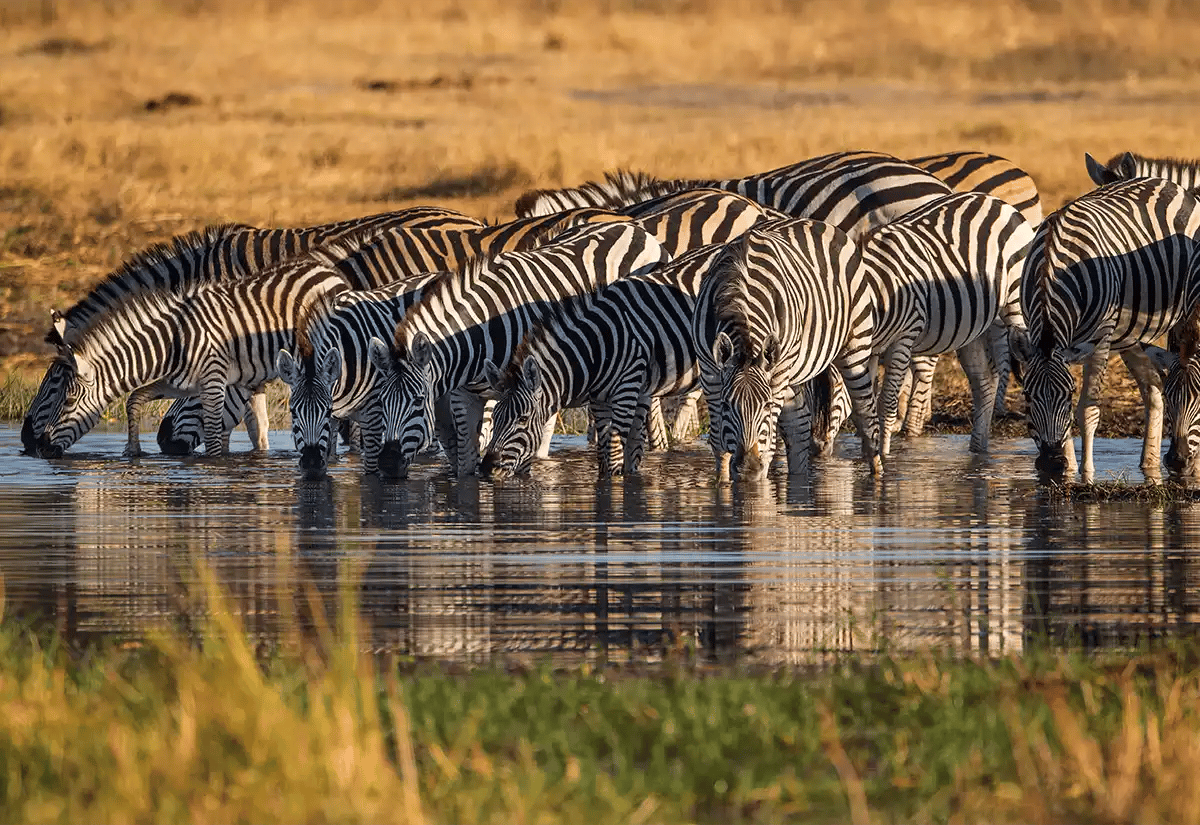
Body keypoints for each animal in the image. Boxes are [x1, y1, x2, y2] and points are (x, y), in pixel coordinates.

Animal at [33, 251, 352, 459]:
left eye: (67, 399)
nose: (41, 448)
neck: (170, 343)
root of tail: (327, 271)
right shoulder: (178, 384)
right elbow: (134, 399)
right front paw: (133, 452)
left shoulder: (212, 383)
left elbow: (211, 439)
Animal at [365, 221, 671, 479]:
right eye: (380, 401)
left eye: (419, 401)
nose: (388, 465)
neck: (476, 337)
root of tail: (635, 228)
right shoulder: (465, 396)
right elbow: (466, 465)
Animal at [479, 242, 729, 479]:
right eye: (495, 419)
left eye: (522, 419)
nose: (487, 468)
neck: (597, 348)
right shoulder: (600, 400)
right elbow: (605, 456)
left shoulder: (626, 390)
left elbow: (615, 455)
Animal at [693, 218, 867, 482]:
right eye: (726, 406)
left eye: (764, 405)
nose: (748, 468)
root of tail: (813, 221)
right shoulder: (709, 371)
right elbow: (718, 444)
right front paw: (723, 484)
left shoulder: (776, 375)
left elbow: (769, 444)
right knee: (799, 429)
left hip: (853, 347)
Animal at [1011, 178, 1200, 483]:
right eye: (1027, 396)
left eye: (1068, 394)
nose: (1052, 463)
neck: (1051, 269)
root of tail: (1167, 183)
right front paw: (1067, 470)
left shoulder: (1100, 337)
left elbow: (1088, 410)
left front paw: (1086, 476)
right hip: (1130, 333)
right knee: (1153, 387)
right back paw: (1149, 465)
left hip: (1172, 314)